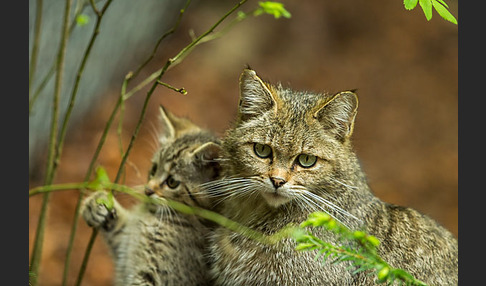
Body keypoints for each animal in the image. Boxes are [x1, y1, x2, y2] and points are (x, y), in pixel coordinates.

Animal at [82, 106, 222, 286]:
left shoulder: (157, 276)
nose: (148, 190)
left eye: (172, 182)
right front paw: (97, 205)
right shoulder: (125, 246)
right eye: (154, 168)